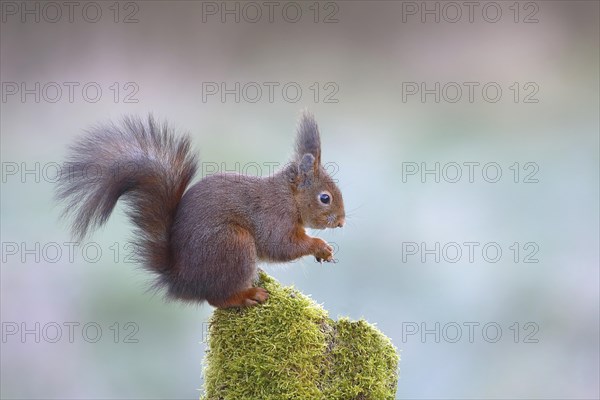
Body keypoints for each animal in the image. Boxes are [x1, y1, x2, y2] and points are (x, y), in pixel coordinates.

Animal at [58, 112, 346, 310]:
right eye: (325, 198)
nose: (342, 222)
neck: (290, 198)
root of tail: (182, 280)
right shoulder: (274, 218)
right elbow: (281, 246)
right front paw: (320, 246)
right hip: (233, 243)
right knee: (217, 299)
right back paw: (247, 295)